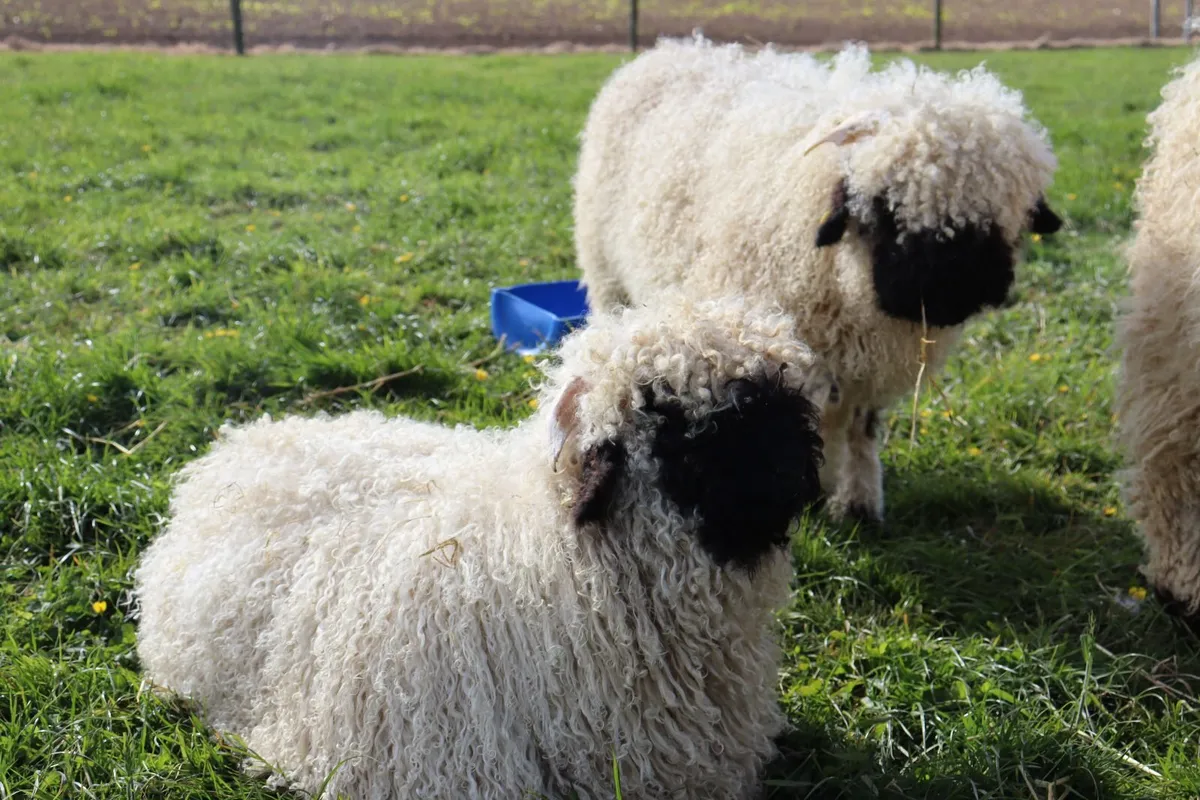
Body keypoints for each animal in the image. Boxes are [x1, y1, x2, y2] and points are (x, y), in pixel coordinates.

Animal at [573, 36, 1062, 522]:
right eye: (883, 209)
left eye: (996, 219)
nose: (945, 295)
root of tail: (668, 48)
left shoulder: (869, 366)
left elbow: (863, 428)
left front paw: (860, 503)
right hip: (607, 275)